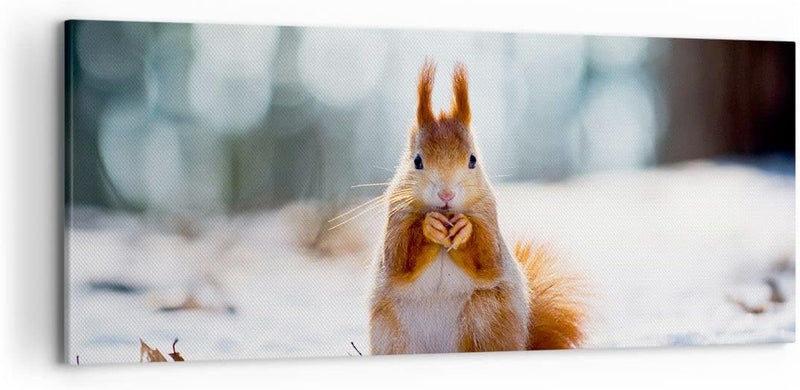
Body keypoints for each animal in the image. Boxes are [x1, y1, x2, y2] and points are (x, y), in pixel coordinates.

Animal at [370, 60, 588, 354]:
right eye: (417, 161)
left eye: (473, 160)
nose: (446, 194)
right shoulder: (396, 216)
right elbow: (398, 258)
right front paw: (429, 226)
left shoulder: (489, 217)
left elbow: (488, 258)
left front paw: (465, 229)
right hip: (393, 335)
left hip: (485, 317)